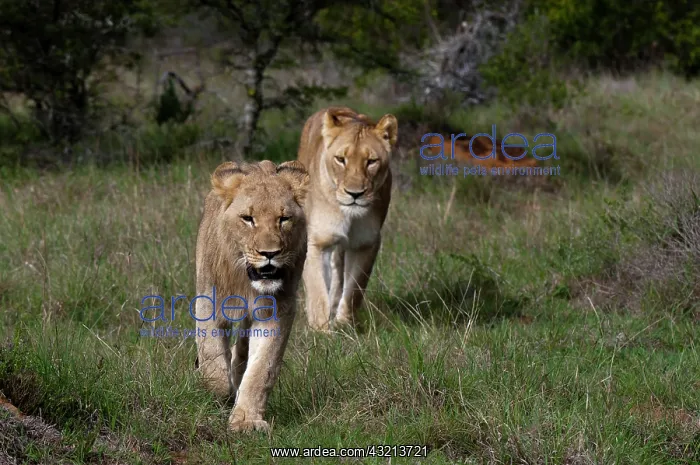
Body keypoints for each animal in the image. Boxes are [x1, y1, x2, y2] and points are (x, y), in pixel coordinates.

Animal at [194, 160, 309, 432]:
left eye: (284, 219)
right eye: (248, 218)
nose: (270, 253)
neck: (247, 283)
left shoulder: (277, 310)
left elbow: (261, 368)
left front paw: (246, 420)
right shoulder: (207, 301)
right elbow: (212, 357)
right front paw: (220, 392)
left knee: (243, 351)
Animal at [296, 107, 398, 331]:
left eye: (371, 161)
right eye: (341, 159)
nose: (355, 194)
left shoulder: (366, 243)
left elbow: (354, 289)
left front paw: (344, 324)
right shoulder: (317, 242)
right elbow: (317, 290)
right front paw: (321, 330)